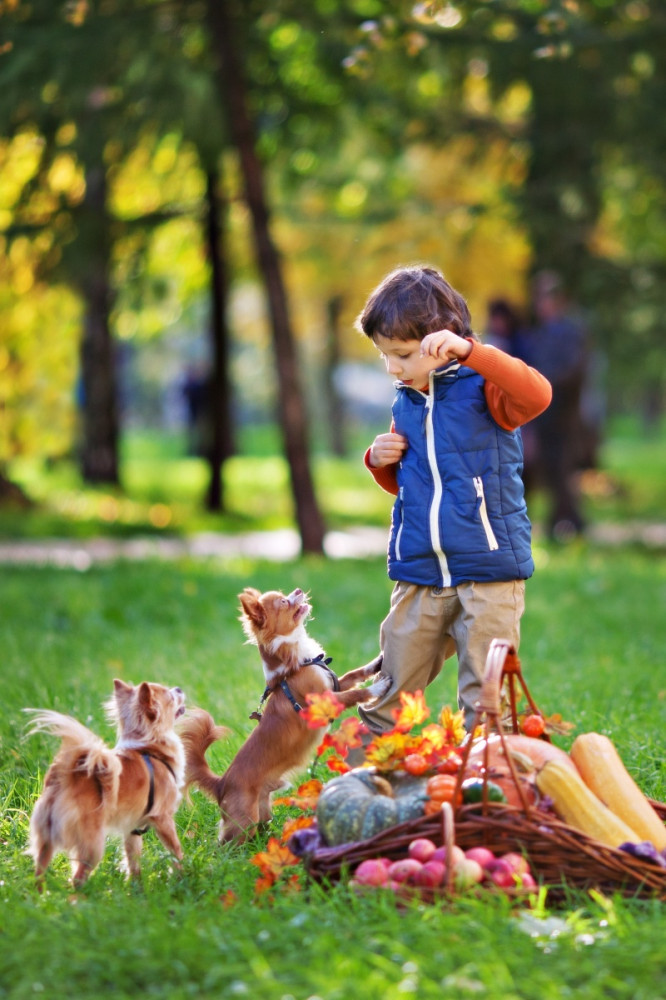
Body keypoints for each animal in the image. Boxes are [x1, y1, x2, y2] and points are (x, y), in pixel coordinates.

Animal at [26, 680, 185, 884]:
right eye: (171, 697)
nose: (179, 688)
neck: (149, 747)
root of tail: (66, 777)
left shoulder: (131, 828)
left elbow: (133, 859)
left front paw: (136, 885)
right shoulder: (163, 818)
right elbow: (176, 851)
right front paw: (184, 874)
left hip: (46, 839)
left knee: (39, 872)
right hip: (93, 846)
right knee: (77, 878)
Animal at [179, 584, 392, 844]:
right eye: (283, 602)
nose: (298, 590)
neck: (299, 664)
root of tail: (221, 784)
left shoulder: (335, 685)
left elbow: (355, 674)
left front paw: (377, 663)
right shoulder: (326, 704)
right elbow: (355, 694)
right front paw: (377, 688)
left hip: (263, 812)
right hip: (243, 820)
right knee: (226, 843)